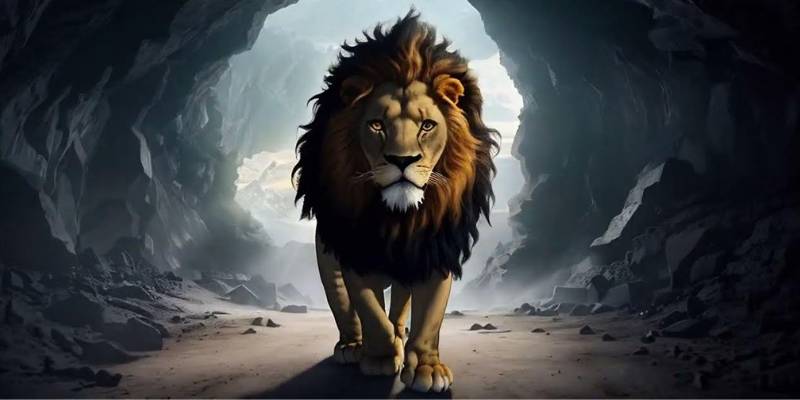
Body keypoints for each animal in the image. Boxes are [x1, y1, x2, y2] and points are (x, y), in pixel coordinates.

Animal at [292, 11, 497, 393]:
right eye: (376, 125)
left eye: (427, 125)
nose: (402, 160)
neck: (399, 219)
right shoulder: (355, 252)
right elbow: (368, 311)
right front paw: (381, 358)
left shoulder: (434, 248)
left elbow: (429, 316)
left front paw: (427, 369)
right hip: (328, 256)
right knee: (343, 305)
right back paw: (352, 346)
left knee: (401, 303)